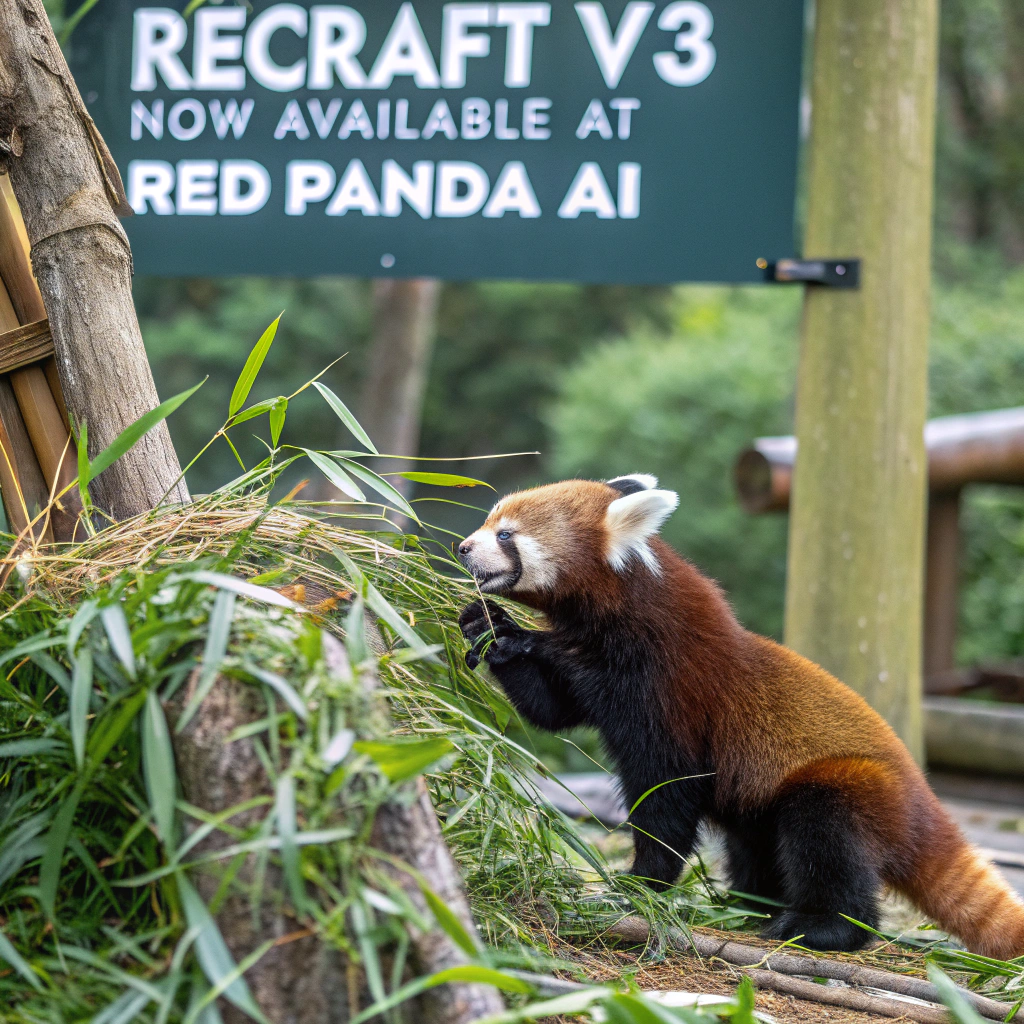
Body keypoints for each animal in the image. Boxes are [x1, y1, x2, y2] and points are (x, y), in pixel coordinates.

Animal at [458, 475, 1024, 954]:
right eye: (489, 521)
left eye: (505, 534)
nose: (462, 546)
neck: (613, 624)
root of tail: (924, 804)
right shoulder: (588, 672)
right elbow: (551, 710)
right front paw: (488, 628)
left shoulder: (670, 689)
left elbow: (666, 795)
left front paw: (642, 883)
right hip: (760, 807)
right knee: (756, 847)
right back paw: (750, 905)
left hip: (852, 788)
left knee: (828, 843)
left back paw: (819, 927)